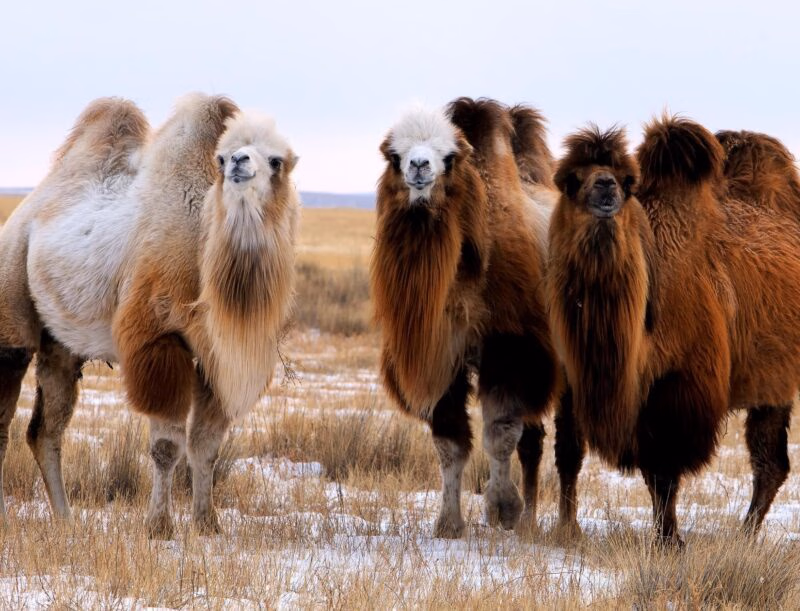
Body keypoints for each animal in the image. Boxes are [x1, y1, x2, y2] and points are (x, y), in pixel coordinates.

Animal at [0, 94, 299, 537]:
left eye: (276, 160)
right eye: (222, 157)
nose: (240, 163)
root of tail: (24, 212)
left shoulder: (217, 358)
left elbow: (206, 447)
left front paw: (208, 524)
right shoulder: (159, 338)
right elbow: (166, 446)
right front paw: (159, 526)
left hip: (60, 345)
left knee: (45, 429)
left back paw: (67, 519)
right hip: (12, 309)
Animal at [371, 98, 559, 538]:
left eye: (450, 157)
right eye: (393, 155)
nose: (419, 166)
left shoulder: (510, 350)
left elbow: (500, 434)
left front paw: (503, 507)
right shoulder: (441, 357)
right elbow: (449, 443)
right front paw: (448, 523)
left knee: (538, 439)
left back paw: (534, 519)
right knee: (533, 438)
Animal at [547, 117, 800, 546]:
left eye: (626, 180)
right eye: (571, 179)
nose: (605, 187)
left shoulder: (681, 388)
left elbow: (662, 470)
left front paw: (669, 541)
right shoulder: (573, 379)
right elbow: (569, 454)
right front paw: (568, 528)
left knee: (769, 462)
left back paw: (743, 534)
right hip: (772, 383)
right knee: (771, 462)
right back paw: (745, 534)